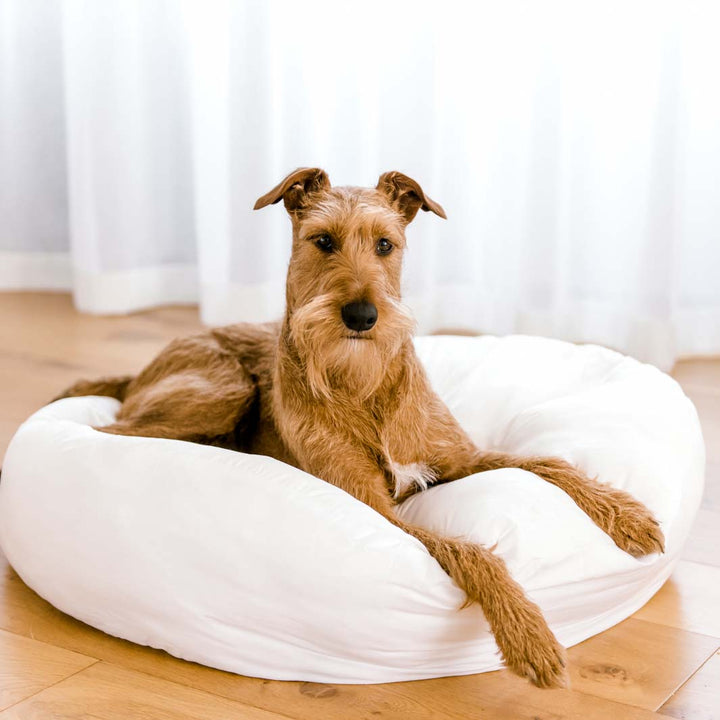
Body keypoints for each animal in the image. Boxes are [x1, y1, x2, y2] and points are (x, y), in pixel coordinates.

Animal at [59, 167, 668, 688]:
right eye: (323, 241)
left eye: (385, 245)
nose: (361, 315)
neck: (362, 387)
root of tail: (138, 372)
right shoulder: (378, 510)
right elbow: (474, 551)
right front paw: (530, 636)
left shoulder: (460, 460)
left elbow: (548, 460)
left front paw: (630, 516)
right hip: (222, 390)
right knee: (111, 433)